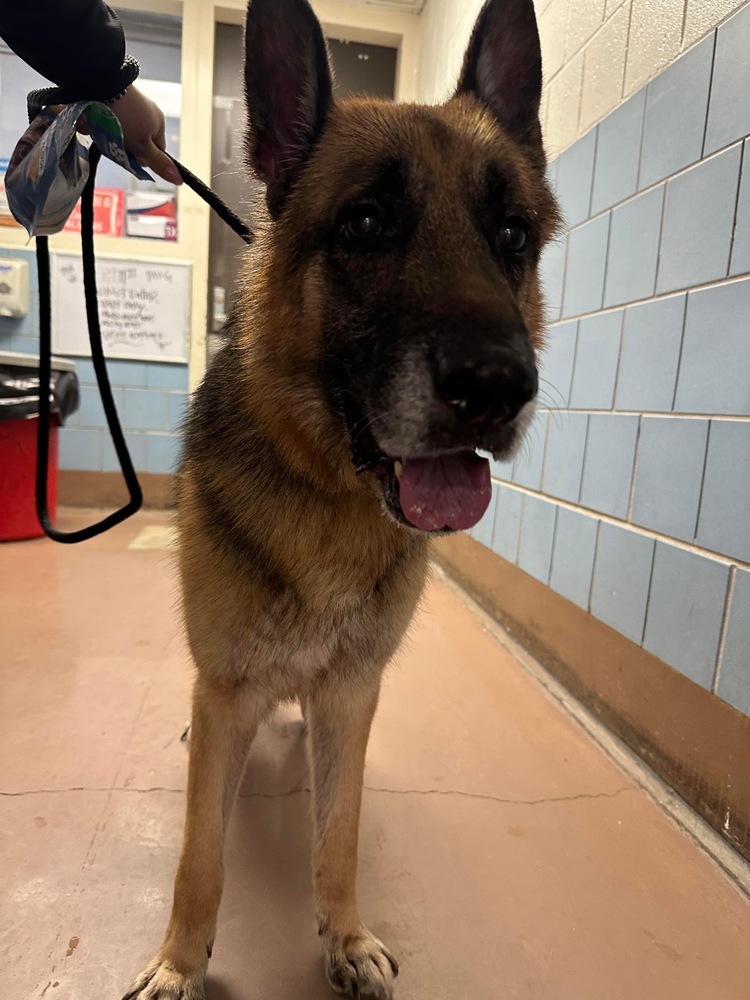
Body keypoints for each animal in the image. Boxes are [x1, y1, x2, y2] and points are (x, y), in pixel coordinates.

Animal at [123, 1, 560, 1000]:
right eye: (365, 222)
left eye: (514, 235)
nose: (498, 387)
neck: (330, 493)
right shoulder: (230, 690)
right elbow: (199, 855)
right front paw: (179, 963)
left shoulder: (352, 697)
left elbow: (340, 833)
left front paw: (345, 937)